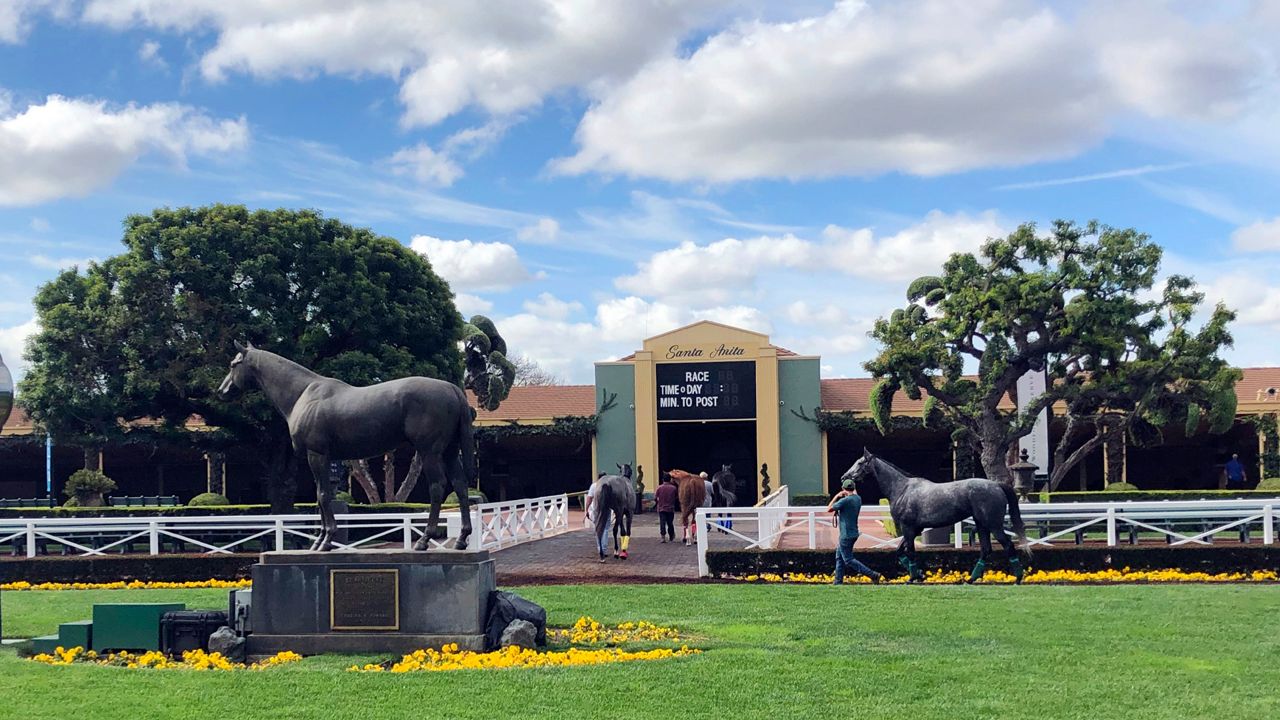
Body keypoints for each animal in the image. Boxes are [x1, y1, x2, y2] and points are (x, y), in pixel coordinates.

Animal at [220, 340, 476, 548]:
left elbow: (323, 495)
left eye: (233, 364)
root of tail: (451, 388)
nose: (222, 391)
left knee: (437, 487)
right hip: (449, 452)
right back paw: (462, 539)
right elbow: (320, 496)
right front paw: (319, 542)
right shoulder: (322, 458)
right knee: (461, 485)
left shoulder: (317, 455)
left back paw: (424, 539)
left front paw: (327, 541)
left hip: (429, 452)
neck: (303, 394)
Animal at [839, 448, 1029, 584]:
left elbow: (910, 552)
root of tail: (997, 485)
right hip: (982, 525)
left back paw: (1018, 578)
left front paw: (912, 578)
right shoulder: (915, 529)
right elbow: (900, 551)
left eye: (860, 462)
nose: (844, 477)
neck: (902, 489)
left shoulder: (907, 527)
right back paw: (971, 579)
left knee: (1008, 545)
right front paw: (920, 575)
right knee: (986, 550)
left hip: (993, 525)